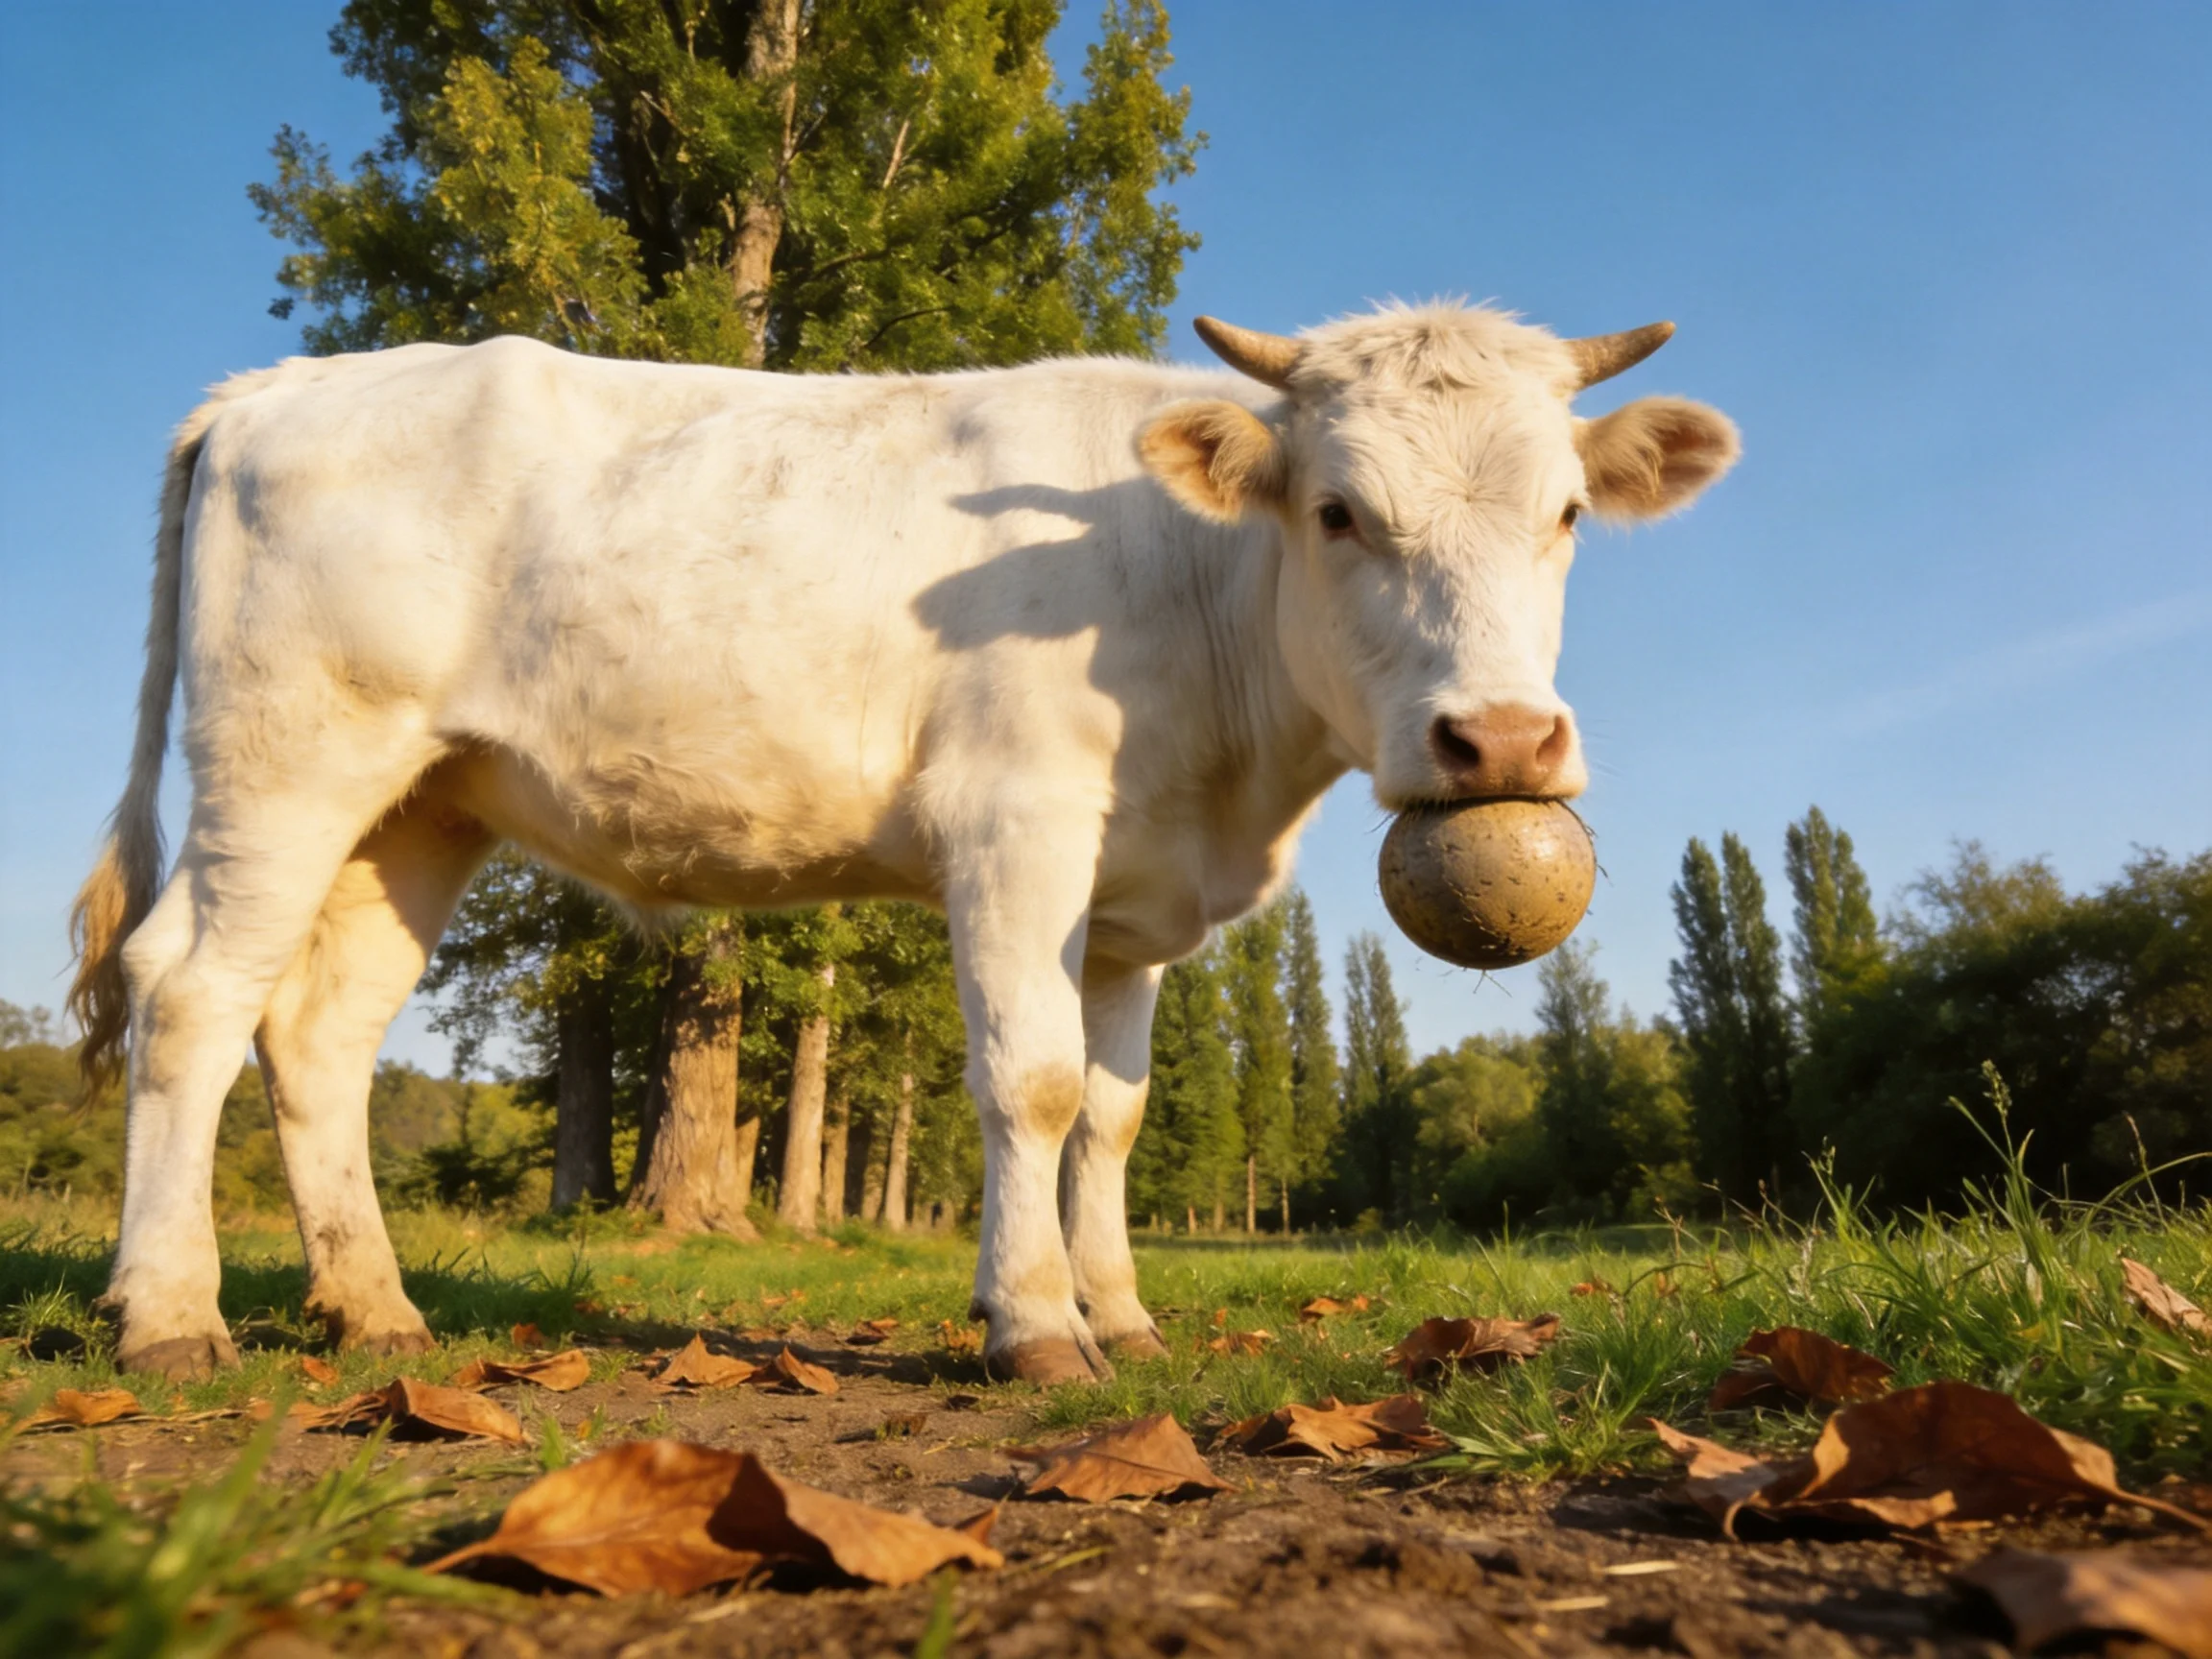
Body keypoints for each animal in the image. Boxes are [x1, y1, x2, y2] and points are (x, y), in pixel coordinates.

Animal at [67, 303, 1738, 1382]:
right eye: (1337, 511)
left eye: (1570, 512)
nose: (1502, 743)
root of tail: (273, 389)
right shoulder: (1015, 823)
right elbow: (1034, 1081)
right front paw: (1037, 1330)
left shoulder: (1135, 896)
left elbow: (1113, 1116)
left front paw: (1123, 1317)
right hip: (286, 759)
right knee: (190, 993)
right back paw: (169, 1318)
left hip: (423, 803)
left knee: (317, 1031)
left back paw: (374, 1313)